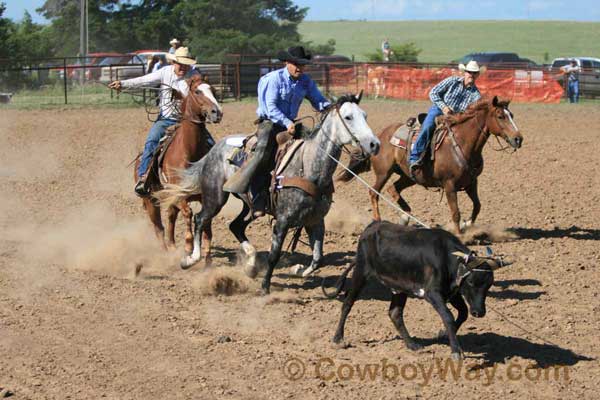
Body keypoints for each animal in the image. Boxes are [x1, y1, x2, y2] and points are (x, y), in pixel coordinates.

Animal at [134, 76, 223, 253]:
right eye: (197, 91)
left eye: (213, 90)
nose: (216, 112)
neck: (190, 151)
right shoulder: (179, 193)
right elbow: (188, 213)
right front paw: (189, 244)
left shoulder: (202, 195)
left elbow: (205, 220)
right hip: (151, 200)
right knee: (159, 227)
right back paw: (166, 252)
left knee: (170, 218)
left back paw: (173, 246)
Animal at [340, 96, 524, 233]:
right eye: (500, 116)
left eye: (512, 115)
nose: (518, 139)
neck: (462, 144)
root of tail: (379, 136)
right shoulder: (449, 185)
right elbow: (455, 213)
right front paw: (460, 236)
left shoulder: (472, 182)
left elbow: (477, 206)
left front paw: (467, 225)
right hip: (383, 172)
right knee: (374, 192)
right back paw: (378, 220)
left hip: (410, 176)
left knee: (393, 188)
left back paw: (405, 218)